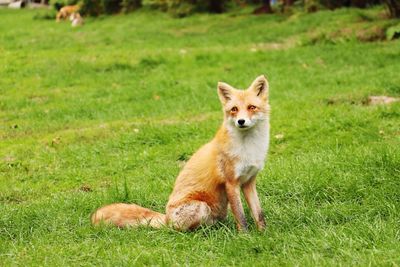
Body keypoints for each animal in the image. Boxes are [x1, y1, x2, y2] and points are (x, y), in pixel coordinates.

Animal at [92, 75, 270, 232]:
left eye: (251, 107)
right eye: (234, 109)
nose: (241, 121)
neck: (249, 148)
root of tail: (166, 219)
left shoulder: (249, 182)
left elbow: (258, 213)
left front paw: (263, 233)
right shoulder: (231, 182)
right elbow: (241, 217)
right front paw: (245, 236)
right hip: (201, 207)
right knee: (180, 230)